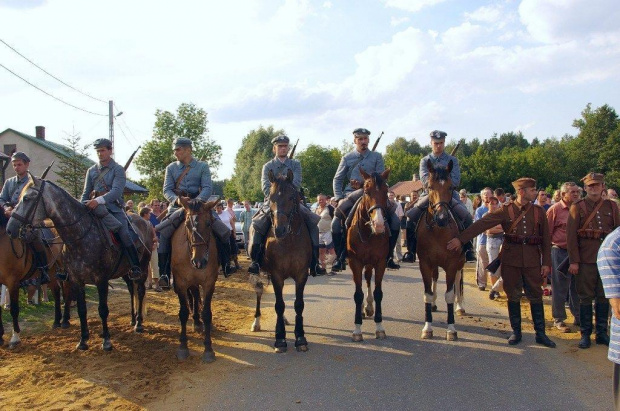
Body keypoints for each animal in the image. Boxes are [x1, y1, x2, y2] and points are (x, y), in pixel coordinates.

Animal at [7, 177, 154, 350]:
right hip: (125, 271)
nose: (10, 229)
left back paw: (138, 323)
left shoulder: (101, 280)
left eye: (27, 198)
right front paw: (83, 340)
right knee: (132, 290)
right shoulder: (76, 280)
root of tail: (145, 222)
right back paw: (132, 318)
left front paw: (106, 341)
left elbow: (103, 309)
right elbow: (81, 309)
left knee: (140, 291)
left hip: (142, 268)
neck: (79, 236)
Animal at [171, 198, 222, 362]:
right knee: (193, 294)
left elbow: (207, 313)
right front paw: (182, 347)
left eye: (209, 223)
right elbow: (183, 313)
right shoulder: (181, 284)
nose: (199, 262)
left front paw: (208, 349)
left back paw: (198, 322)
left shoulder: (209, 283)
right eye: (187, 224)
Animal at [249, 171, 312, 354]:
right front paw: (280, 340)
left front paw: (300, 338)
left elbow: (298, 304)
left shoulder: (301, 275)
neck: (289, 240)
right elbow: (278, 305)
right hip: (260, 273)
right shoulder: (276, 275)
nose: (279, 230)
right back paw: (256, 322)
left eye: (291, 197)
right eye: (270, 197)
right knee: (259, 292)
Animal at [346, 167, 390, 342]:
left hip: (371, 263)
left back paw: (369, 307)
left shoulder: (380, 262)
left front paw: (380, 327)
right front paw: (357, 330)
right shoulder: (355, 262)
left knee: (368, 278)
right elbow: (357, 294)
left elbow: (378, 293)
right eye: (366, 191)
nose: (379, 225)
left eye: (386, 191)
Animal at [416, 159, 464, 342]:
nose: (442, 218)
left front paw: (451, 329)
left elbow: (450, 294)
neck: (438, 231)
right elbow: (428, 293)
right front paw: (427, 328)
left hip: (460, 263)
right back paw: (435, 304)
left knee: (458, 280)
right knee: (435, 278)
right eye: (430, 187)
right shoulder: (425, 264)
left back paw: (460, 306)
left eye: (451, 187)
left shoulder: (451, 264)